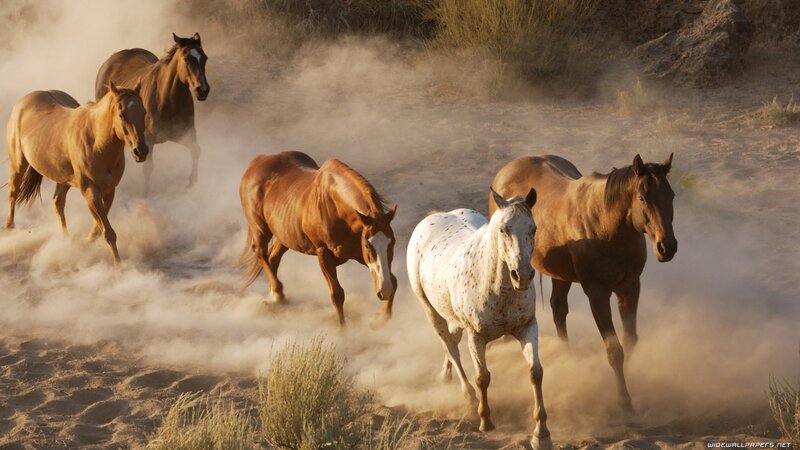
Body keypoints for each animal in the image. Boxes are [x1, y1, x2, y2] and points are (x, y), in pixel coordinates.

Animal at [5, 82, 149, 264]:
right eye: (122, 114)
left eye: (143, 112)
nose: (141, 151)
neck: (97, 142)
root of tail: (23, 102)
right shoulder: (90, 191)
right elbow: (108, 232)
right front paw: (119, 265)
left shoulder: (109, 190)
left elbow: (99, 230)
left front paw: (85, 244)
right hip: (18, 164)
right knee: (13, 193)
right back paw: (9, 230)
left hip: (63, 178)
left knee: (57, 202)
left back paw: (65, 240)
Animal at [95, 32, 209, 191]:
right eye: (186, 59)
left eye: (204, 58)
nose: (202, 90)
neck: (167, 99)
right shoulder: (147, 140)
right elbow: (148, 168)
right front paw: (146, 192)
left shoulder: (186, 134)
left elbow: (196, 151)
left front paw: (192, 182)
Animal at [239, 151, 398, 325]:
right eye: (368, 245)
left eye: (393, 243)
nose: (384, 291)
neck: (336, 207)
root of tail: (258, 161)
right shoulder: (324, 253)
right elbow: (337, 295)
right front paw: (343, 330)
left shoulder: (358, 253)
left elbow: (394, 281)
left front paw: (381, 318)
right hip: (260, 228)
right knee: (261, 253)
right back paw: (278, 294)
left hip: (284, 235)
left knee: (273, 258)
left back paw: (275, 297)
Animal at [407, 189, 551, 450]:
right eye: (503, 229)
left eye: (533, 229)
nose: (522, 275)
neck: (497, 287)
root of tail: (433, 217)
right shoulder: (476, 337)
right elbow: (482, 377)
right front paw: (486, 421)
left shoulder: (527, 327)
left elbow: (535, 372)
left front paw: (541, 433)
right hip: (431, 311)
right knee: (451, 348)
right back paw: (469, 398)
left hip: (452, 318)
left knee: (451, 342)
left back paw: (445, 375)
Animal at [490, 153, 677, 414]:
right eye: (642, 198)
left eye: (671, 196)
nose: (667, 247)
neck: (607, 227)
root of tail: (506, 170)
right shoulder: (597, 293)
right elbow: (614, 350)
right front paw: (624, 400)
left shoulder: (629, 288)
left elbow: (630, 341)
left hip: (560, 275)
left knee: (558, 309)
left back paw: (567, 356)